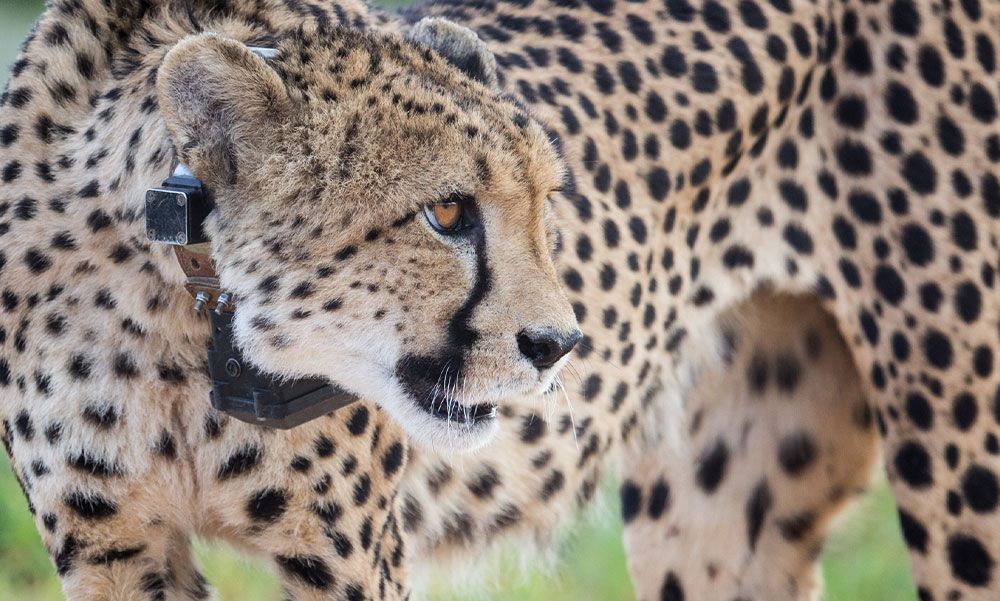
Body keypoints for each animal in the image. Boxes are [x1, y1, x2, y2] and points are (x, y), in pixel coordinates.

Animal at [0, 1, 996, 600]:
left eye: (545, 202)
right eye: (446, 212)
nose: (559, 343)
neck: (165, 307)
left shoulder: (347, 557)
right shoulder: (112, 548)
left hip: (960, 468)